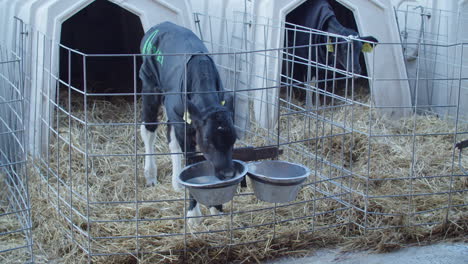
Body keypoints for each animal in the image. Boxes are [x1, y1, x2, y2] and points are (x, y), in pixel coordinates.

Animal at [138, 22, 234, 225]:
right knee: (148, 130)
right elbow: (191, 161)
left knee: (171, 138)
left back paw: (176, 181)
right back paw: (150, 175)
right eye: (207, 141)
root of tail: (161, 24)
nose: (228, 174)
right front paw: (193, 215)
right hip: (149, 83)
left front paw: (216, 206)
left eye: (234, 140)